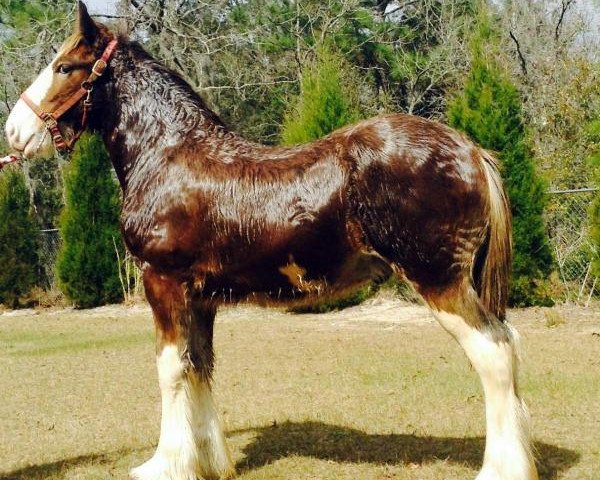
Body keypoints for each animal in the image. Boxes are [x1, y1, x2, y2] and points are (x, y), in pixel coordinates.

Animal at [3, 3, 540, 480]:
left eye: (64, 66)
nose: (13, 131)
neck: (169, 154)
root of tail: (471, 150)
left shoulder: (163, 283)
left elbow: (170, 369)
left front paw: (165, 465)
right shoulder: (201, 297)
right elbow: (199, 366)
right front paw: (211, 463)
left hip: (440, 282)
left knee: (494, 354)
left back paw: (501, 470)